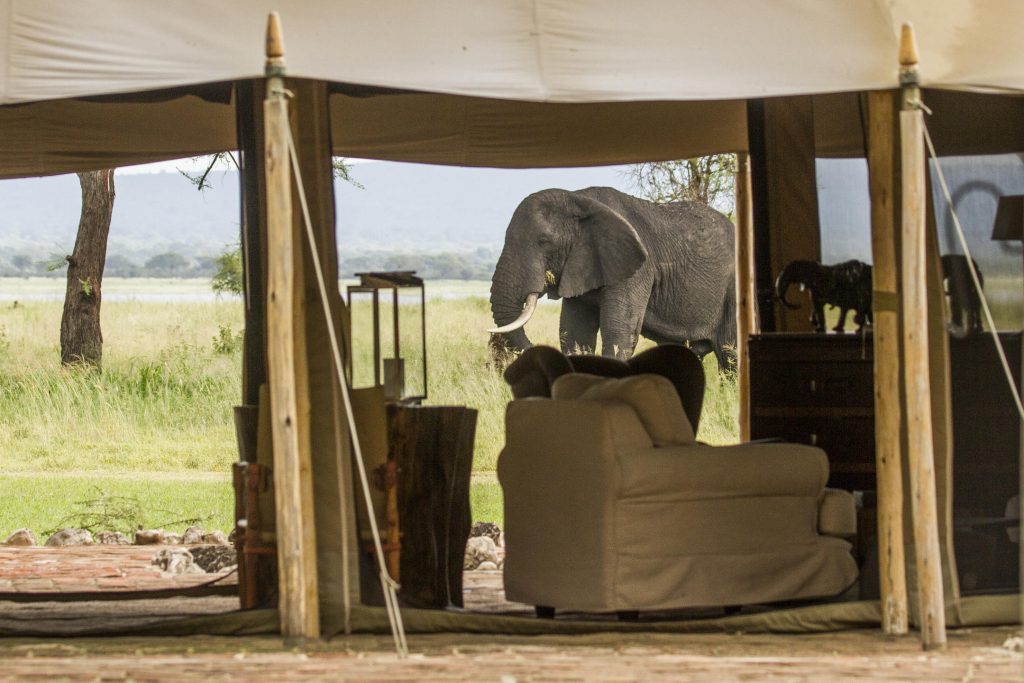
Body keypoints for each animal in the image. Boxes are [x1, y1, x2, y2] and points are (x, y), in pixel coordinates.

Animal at [487, 185, 737, 368]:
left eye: (544, 241)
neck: (578, 198)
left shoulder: (637, 269)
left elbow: (618, 333)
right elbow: (574, 333)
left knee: (730, 355)